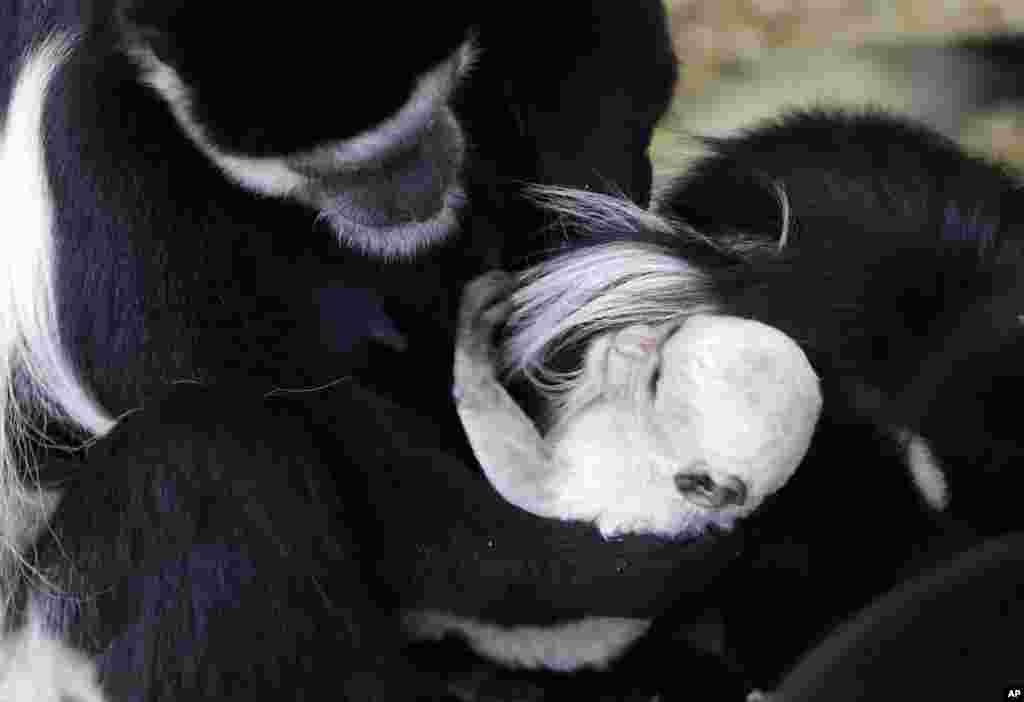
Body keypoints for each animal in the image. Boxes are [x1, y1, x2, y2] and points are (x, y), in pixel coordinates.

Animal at [0, 1, 733, 702]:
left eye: (430, 104)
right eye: (322, 166)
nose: (413, 182)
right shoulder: (93, 160)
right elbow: (297, 409)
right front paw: (618, 567)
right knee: (197, 458)